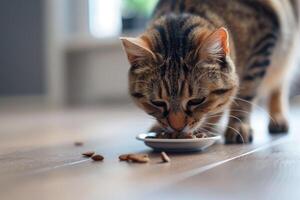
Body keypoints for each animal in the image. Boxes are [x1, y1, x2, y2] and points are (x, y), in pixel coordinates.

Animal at [120, 0, 298, 144]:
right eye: (157, 103)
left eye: (196, 101)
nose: (177, 128)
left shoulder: (262, 44)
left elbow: (245, 94)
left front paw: (237, 126)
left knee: (280, 80)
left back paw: (278, 117)